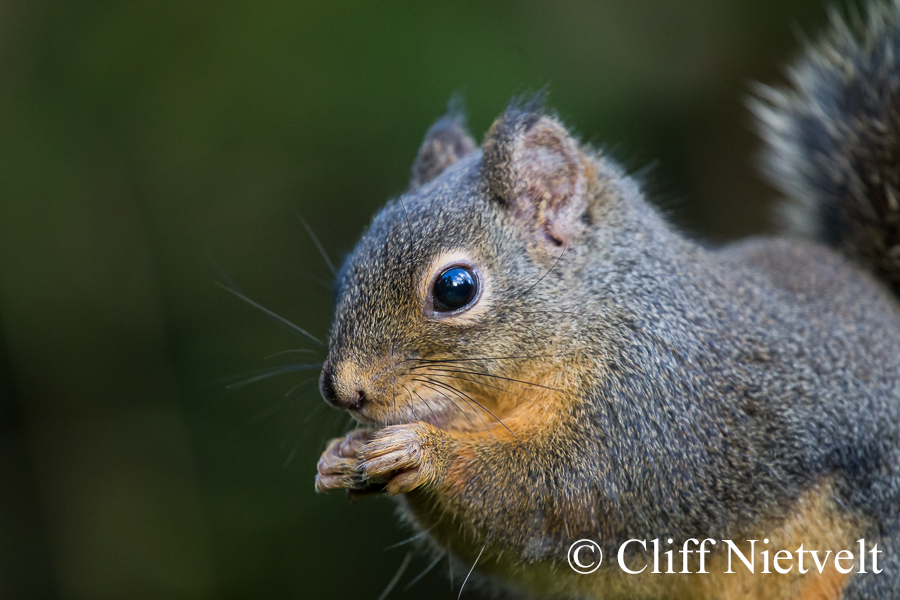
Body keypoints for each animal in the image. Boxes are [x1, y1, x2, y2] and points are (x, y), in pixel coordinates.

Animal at [313, 2, 900, 599]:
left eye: (455, 288)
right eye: (347, 269)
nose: (344, 391)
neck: (603, 312)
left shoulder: (655, 410)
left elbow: (559, 492)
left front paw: (422, 451)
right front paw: (338, 456)